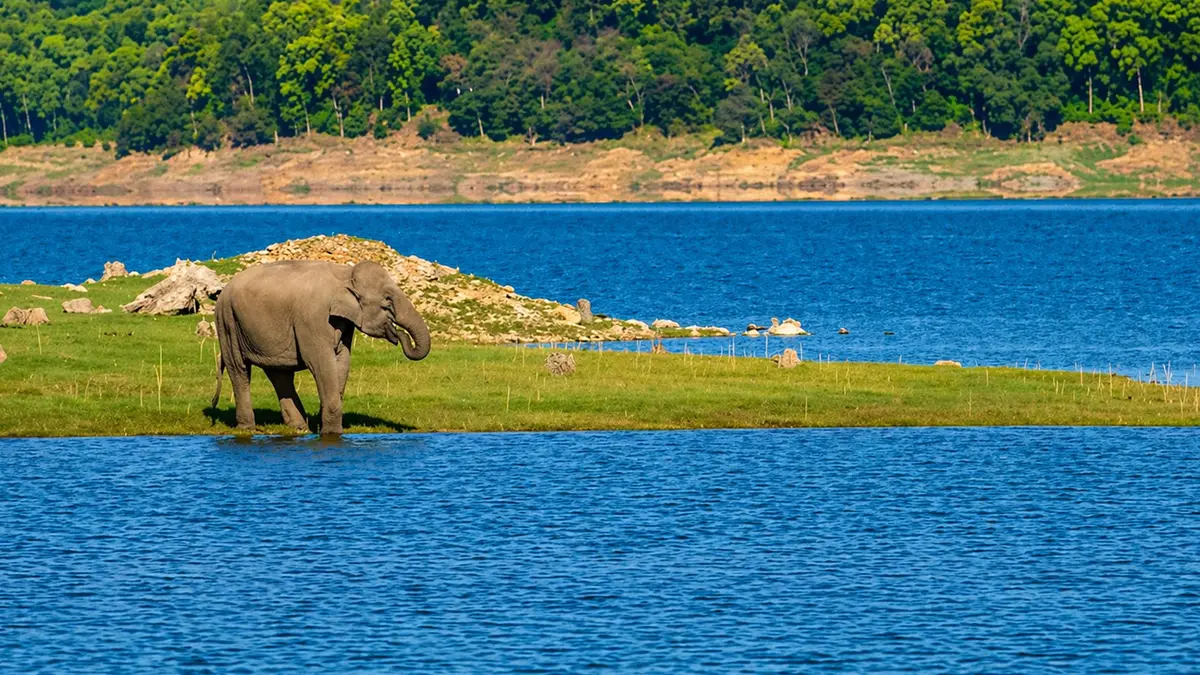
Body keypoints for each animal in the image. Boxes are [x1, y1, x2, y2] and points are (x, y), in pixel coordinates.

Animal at [211, 260, 430, 434]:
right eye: (387, 301)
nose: (399, 334)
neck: (344, 273)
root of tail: (223, 290)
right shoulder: (312, 318)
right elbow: (320, 362)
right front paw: (332, 433)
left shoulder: (343, 322)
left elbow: (342, 359)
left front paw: (324, 422)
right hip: (227, 322)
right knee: (239, 370)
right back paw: (247, 428)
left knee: (278, 374)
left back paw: (300, 428)